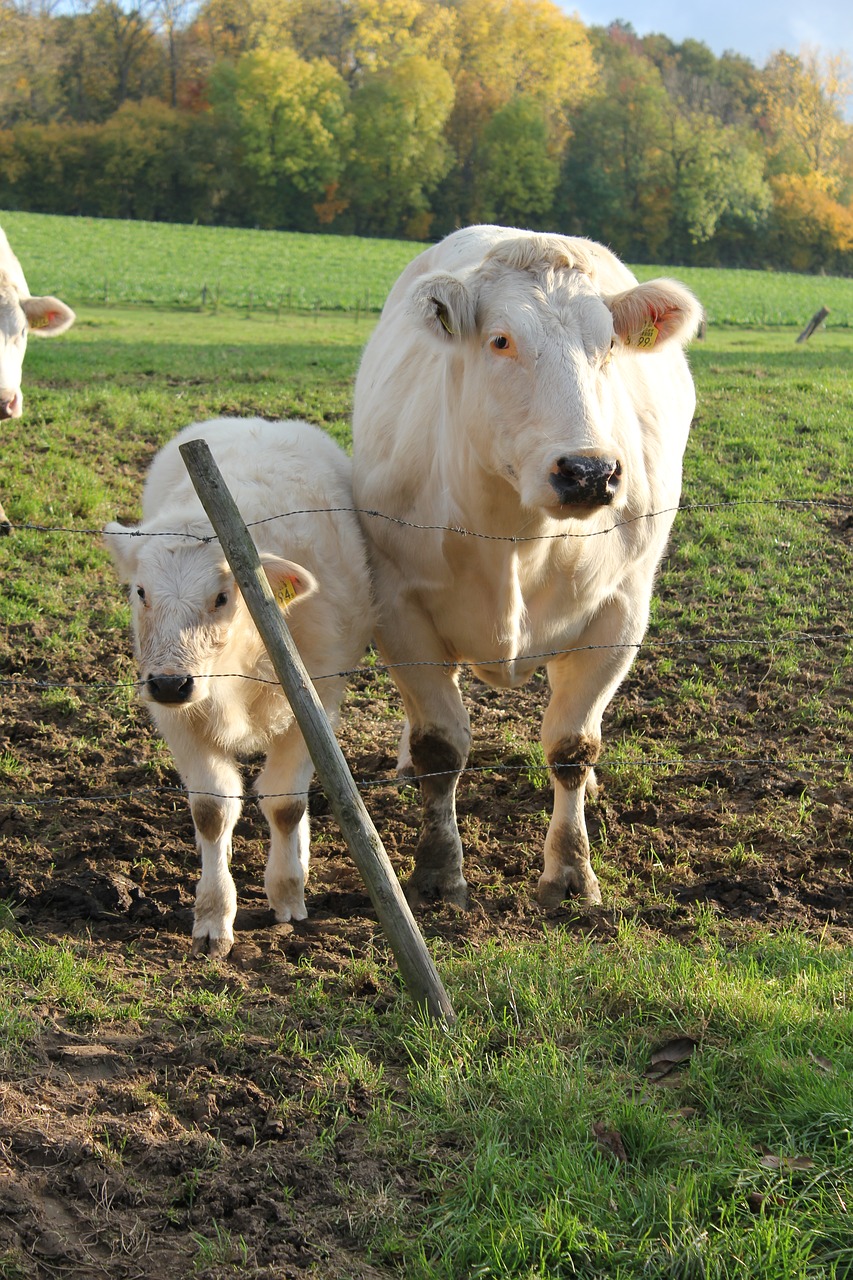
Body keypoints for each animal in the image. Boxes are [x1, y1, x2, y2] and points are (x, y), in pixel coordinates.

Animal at [105, 419, 371, 962]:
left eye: (222, 597)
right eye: (140, 592)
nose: (170, 682)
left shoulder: (315, 699)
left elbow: (286, 804)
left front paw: (287, 892)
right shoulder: (178, 718)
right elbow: (212, 810)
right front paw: (213, 916)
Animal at [348, 225, 701, 916]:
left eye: (608, 343)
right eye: (501, 340)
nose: (589, 471)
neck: (517, 537)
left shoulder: (620, 614)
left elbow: (571, 747)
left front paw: (569, 874)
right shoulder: (399, 606)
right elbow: (441, 745)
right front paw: (438, 872)